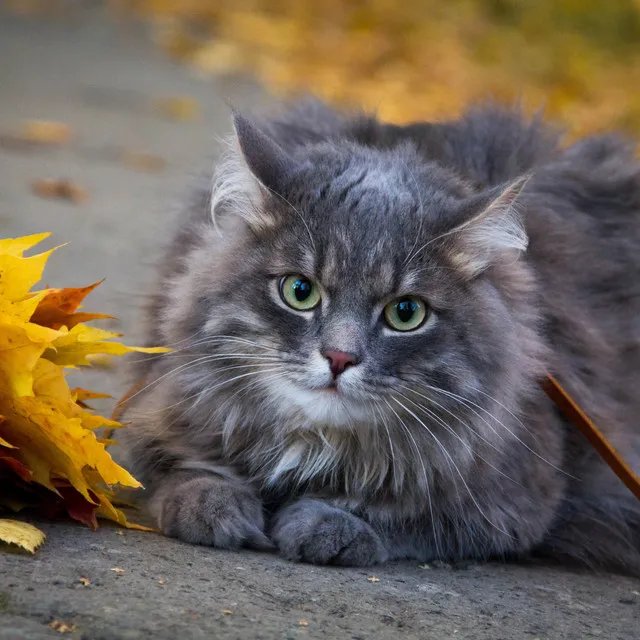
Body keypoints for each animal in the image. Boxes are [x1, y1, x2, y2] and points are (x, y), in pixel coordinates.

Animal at [120, 101, 640, 576]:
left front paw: (323, 523)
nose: (339, 357)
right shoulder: (157, 406)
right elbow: (181, 470)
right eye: (299, 291)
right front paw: (212, 505)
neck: (316, 444)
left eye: (405, 313)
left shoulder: (513, 502)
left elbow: (408, 516)